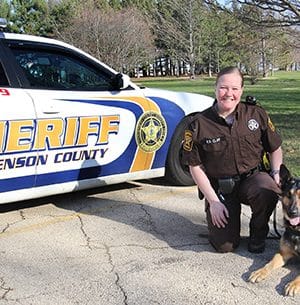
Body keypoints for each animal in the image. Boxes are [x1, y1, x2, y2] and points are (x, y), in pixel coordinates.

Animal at [248, 164, 300, 294]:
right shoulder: (282, 253)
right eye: (289, 195)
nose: (292, 213)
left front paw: (294, 284)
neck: (298, 231)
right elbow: (270, 263)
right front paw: (260, 272)